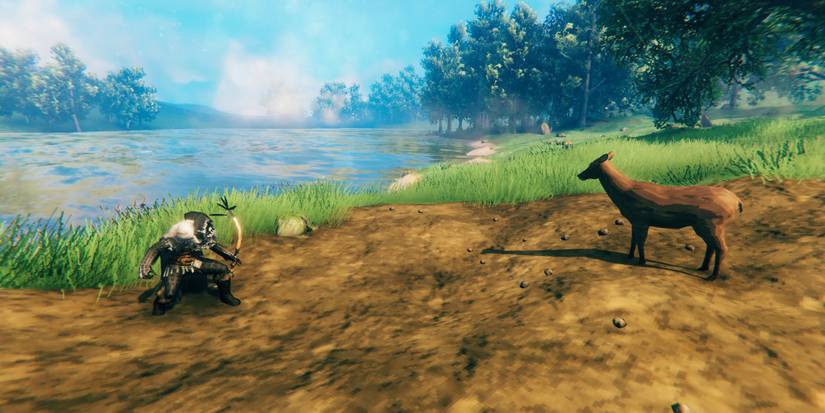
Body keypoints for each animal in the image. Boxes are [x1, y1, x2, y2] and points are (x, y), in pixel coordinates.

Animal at [577, 152, 743, 281]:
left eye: (591, 165)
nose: (579, 175)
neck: (625, 194)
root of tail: (737, 201)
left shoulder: (641, 220)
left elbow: (640, 241)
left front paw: (642, 261)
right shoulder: (634, 221)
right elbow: (633, 240)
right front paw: (630, 256)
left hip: (712, 223)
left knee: (722, 248)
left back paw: (712, 276)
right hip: (706, 226)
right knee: (712, 246)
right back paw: (702, 268)